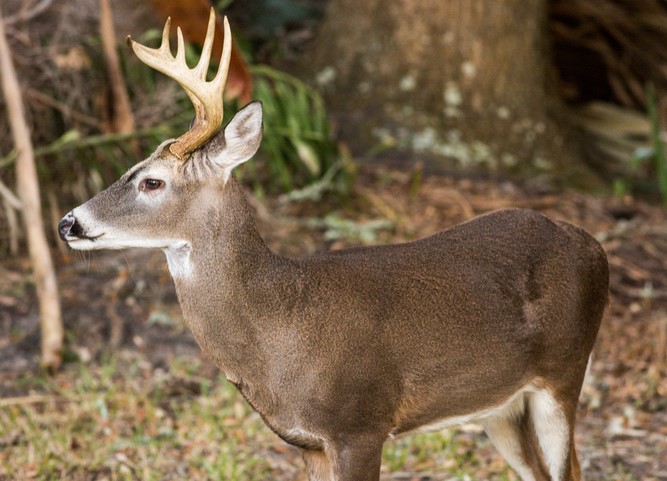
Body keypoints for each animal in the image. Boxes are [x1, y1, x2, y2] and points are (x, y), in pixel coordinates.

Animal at [58, 9, 609, 481]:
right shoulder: (307, 442)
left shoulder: (359, 425)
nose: (68, 223)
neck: (278, 329)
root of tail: (592, 244)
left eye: (151, 182)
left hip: (564, 371)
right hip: (501, 406)